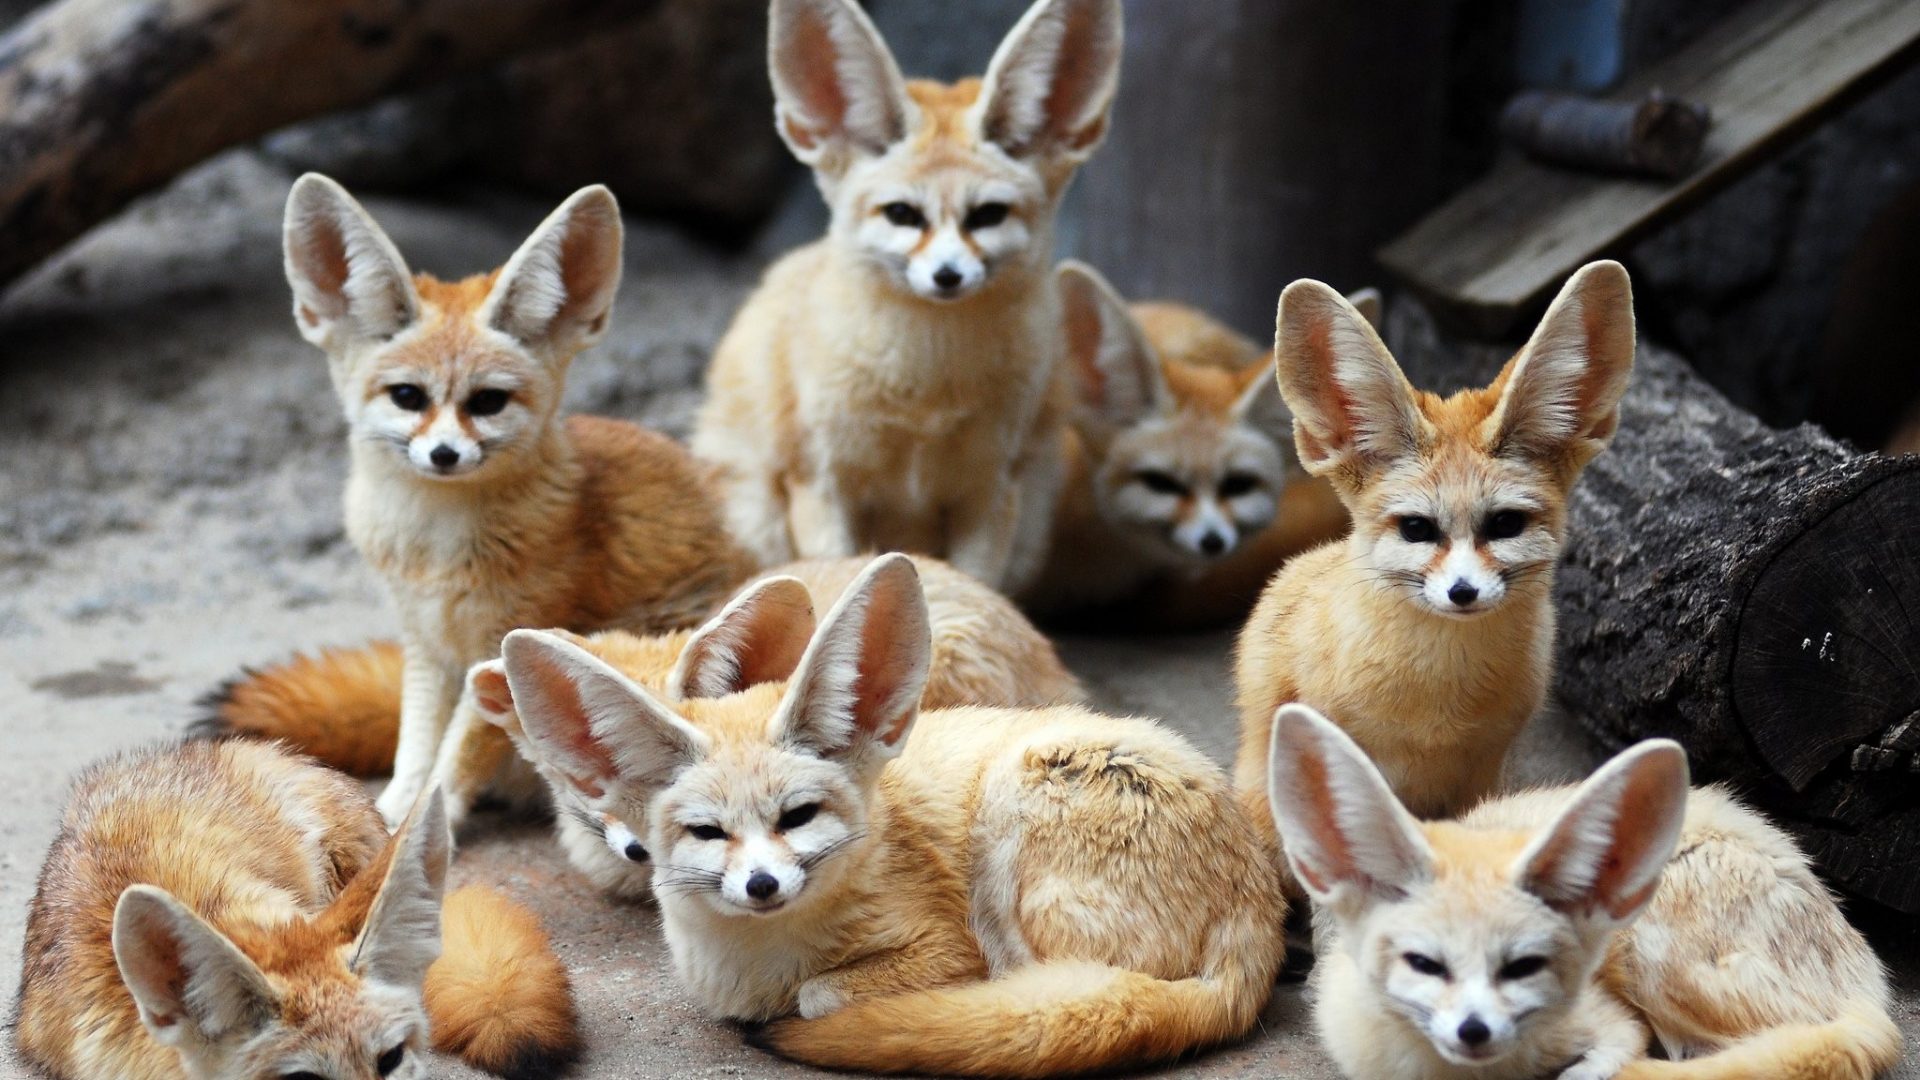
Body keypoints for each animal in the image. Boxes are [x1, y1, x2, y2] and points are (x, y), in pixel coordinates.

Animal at [280, 173, 753, 826]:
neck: (435, 548)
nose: (444, 455)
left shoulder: (502, 644)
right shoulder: (424, 643)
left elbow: (455, 756)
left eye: (488, 402)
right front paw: (395, 809)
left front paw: (428, 820)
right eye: (407, 396)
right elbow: (415, 743)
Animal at [691, 0, 1123, 593]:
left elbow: (980, 586)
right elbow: (836, 568)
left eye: (987, 215)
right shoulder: (820, 486)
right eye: (902, 214)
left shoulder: (990, 491)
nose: (947, 275)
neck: (926, 391)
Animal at [1265, 702, 1903, 1080]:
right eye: (1424, 962)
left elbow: (1617, 1053)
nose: (1473, 1029)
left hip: (1653, 958)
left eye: (1521, 964)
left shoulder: (1609, 1019)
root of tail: (1870, 986)